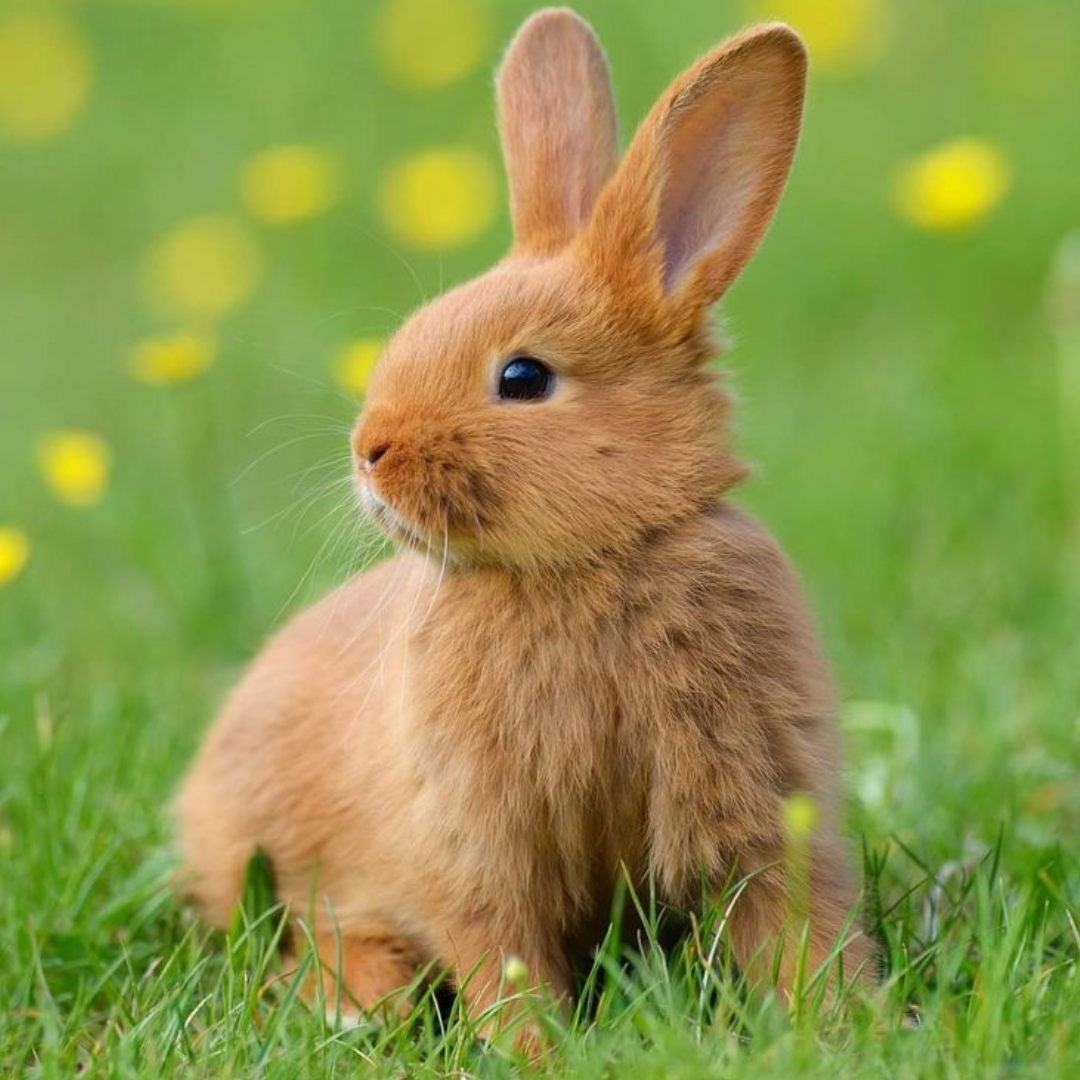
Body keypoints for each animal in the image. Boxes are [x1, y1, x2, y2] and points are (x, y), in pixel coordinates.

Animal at [174, 6, 875, 1036]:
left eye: (523, 377)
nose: (370, 450)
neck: (589, 562)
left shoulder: (757, 800)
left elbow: (795, 923)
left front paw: (849, 1022)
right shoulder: (473, 838)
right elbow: (500, 951)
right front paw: (536, 1048)